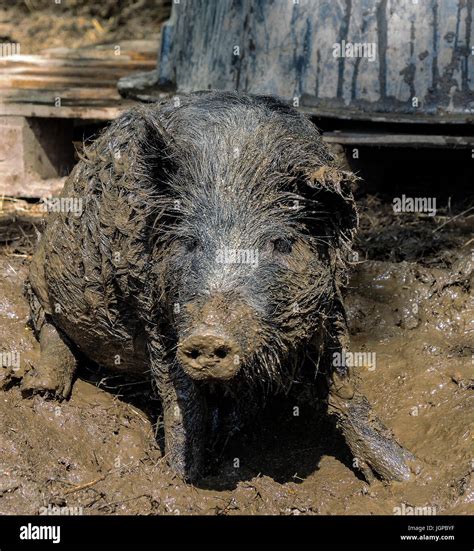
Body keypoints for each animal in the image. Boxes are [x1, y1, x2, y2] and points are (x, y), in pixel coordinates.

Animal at [20, 91, 416, 484]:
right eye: (189, 242)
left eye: (280, 243)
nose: (209, 336)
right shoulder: (155, 310)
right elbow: (182, 399)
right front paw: (182, 480)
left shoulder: (329, 304)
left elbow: (345, 389)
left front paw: (410, 475)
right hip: (37, 278)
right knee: (51, 330)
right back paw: (39, 391)